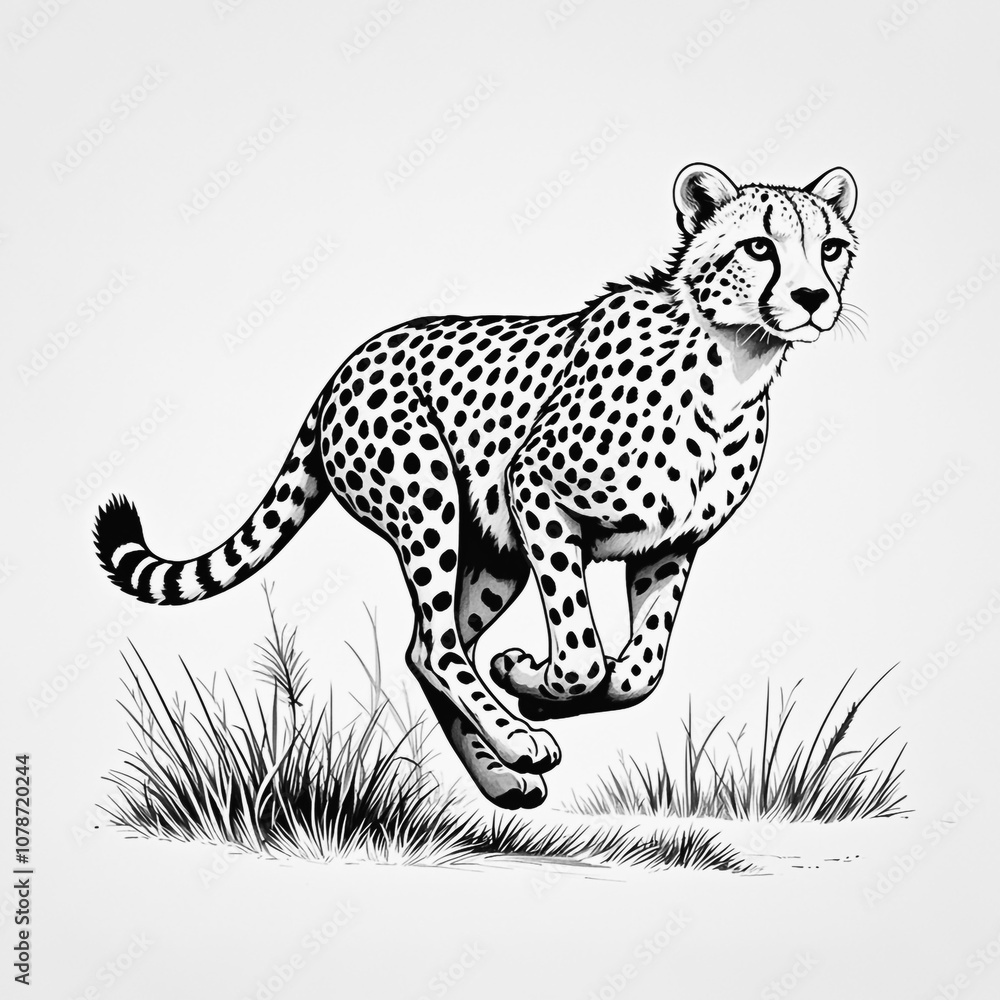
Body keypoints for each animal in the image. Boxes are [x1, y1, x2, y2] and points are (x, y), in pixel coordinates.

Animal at [94, 162, 859, 809]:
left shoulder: (670, 543)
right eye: (759, 247)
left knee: (427, 649)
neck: (734, 359)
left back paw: (502, 777)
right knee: (436, 645)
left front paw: (540, 691)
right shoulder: (537, 488)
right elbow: (582, 653)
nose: (813, 298)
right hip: (430, 501)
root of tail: (346, 366)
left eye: (831, 248)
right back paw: (516, 742)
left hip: (494, 556)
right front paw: (532, 682)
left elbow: (642, 671)